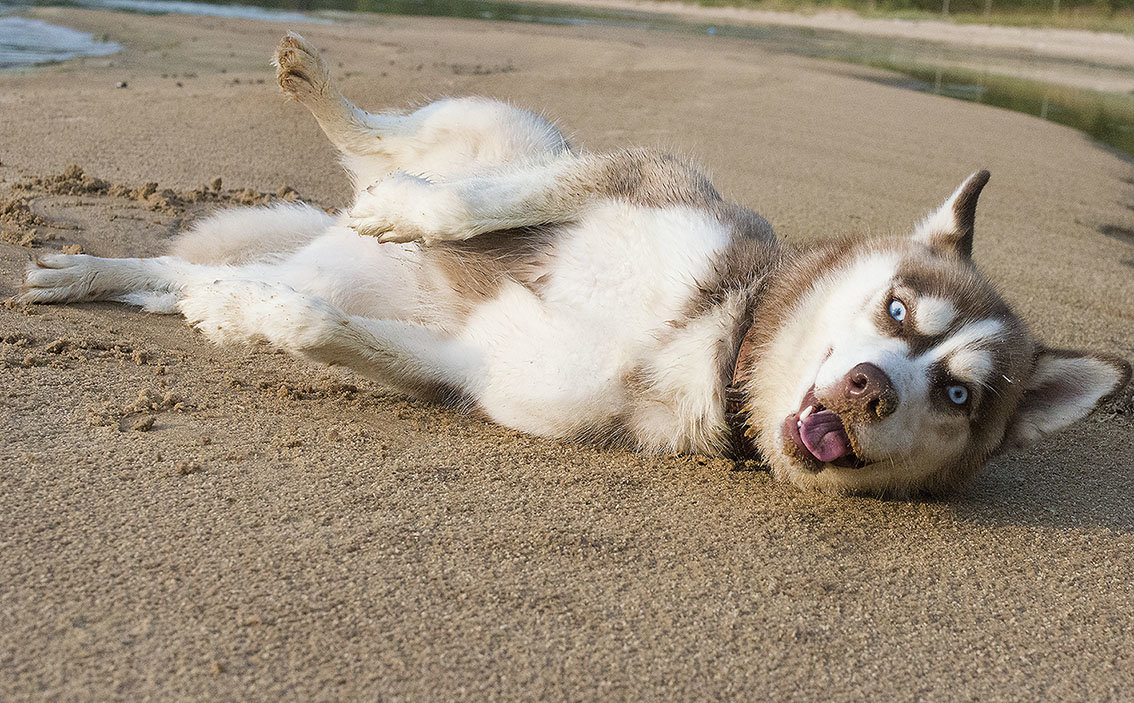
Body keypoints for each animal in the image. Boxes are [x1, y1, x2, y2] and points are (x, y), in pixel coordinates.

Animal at [19, 31, 1134, 494]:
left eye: (958, 397)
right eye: (900, 312)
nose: (867, 389)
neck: (712, 333)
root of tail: (321, 235)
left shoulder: (479, 377)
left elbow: (322, 326)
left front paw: (256, 317)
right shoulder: (634, 174)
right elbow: (475, 203)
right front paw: (418, 214)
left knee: (190, 280)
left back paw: (99, 276)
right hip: (498, 125)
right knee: (387, 144)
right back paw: (321, 95)